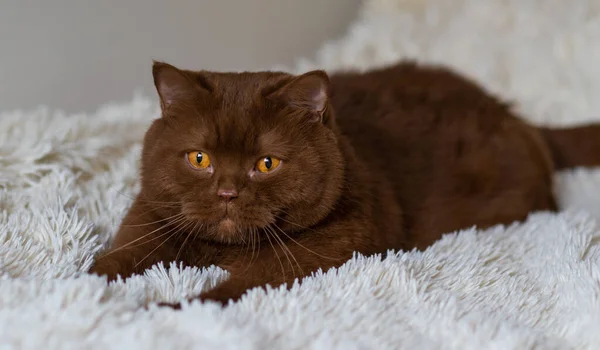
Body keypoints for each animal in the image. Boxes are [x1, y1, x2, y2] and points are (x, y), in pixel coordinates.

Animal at [89, 61, 600, 304]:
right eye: (200, 158)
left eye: (267, 164)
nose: (227, 192)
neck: (221, 251)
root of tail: (514, 114)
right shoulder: (150, 218)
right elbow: (120, 257)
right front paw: (85, 286)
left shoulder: (318, 254)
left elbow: (236, 288)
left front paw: (161, 310)